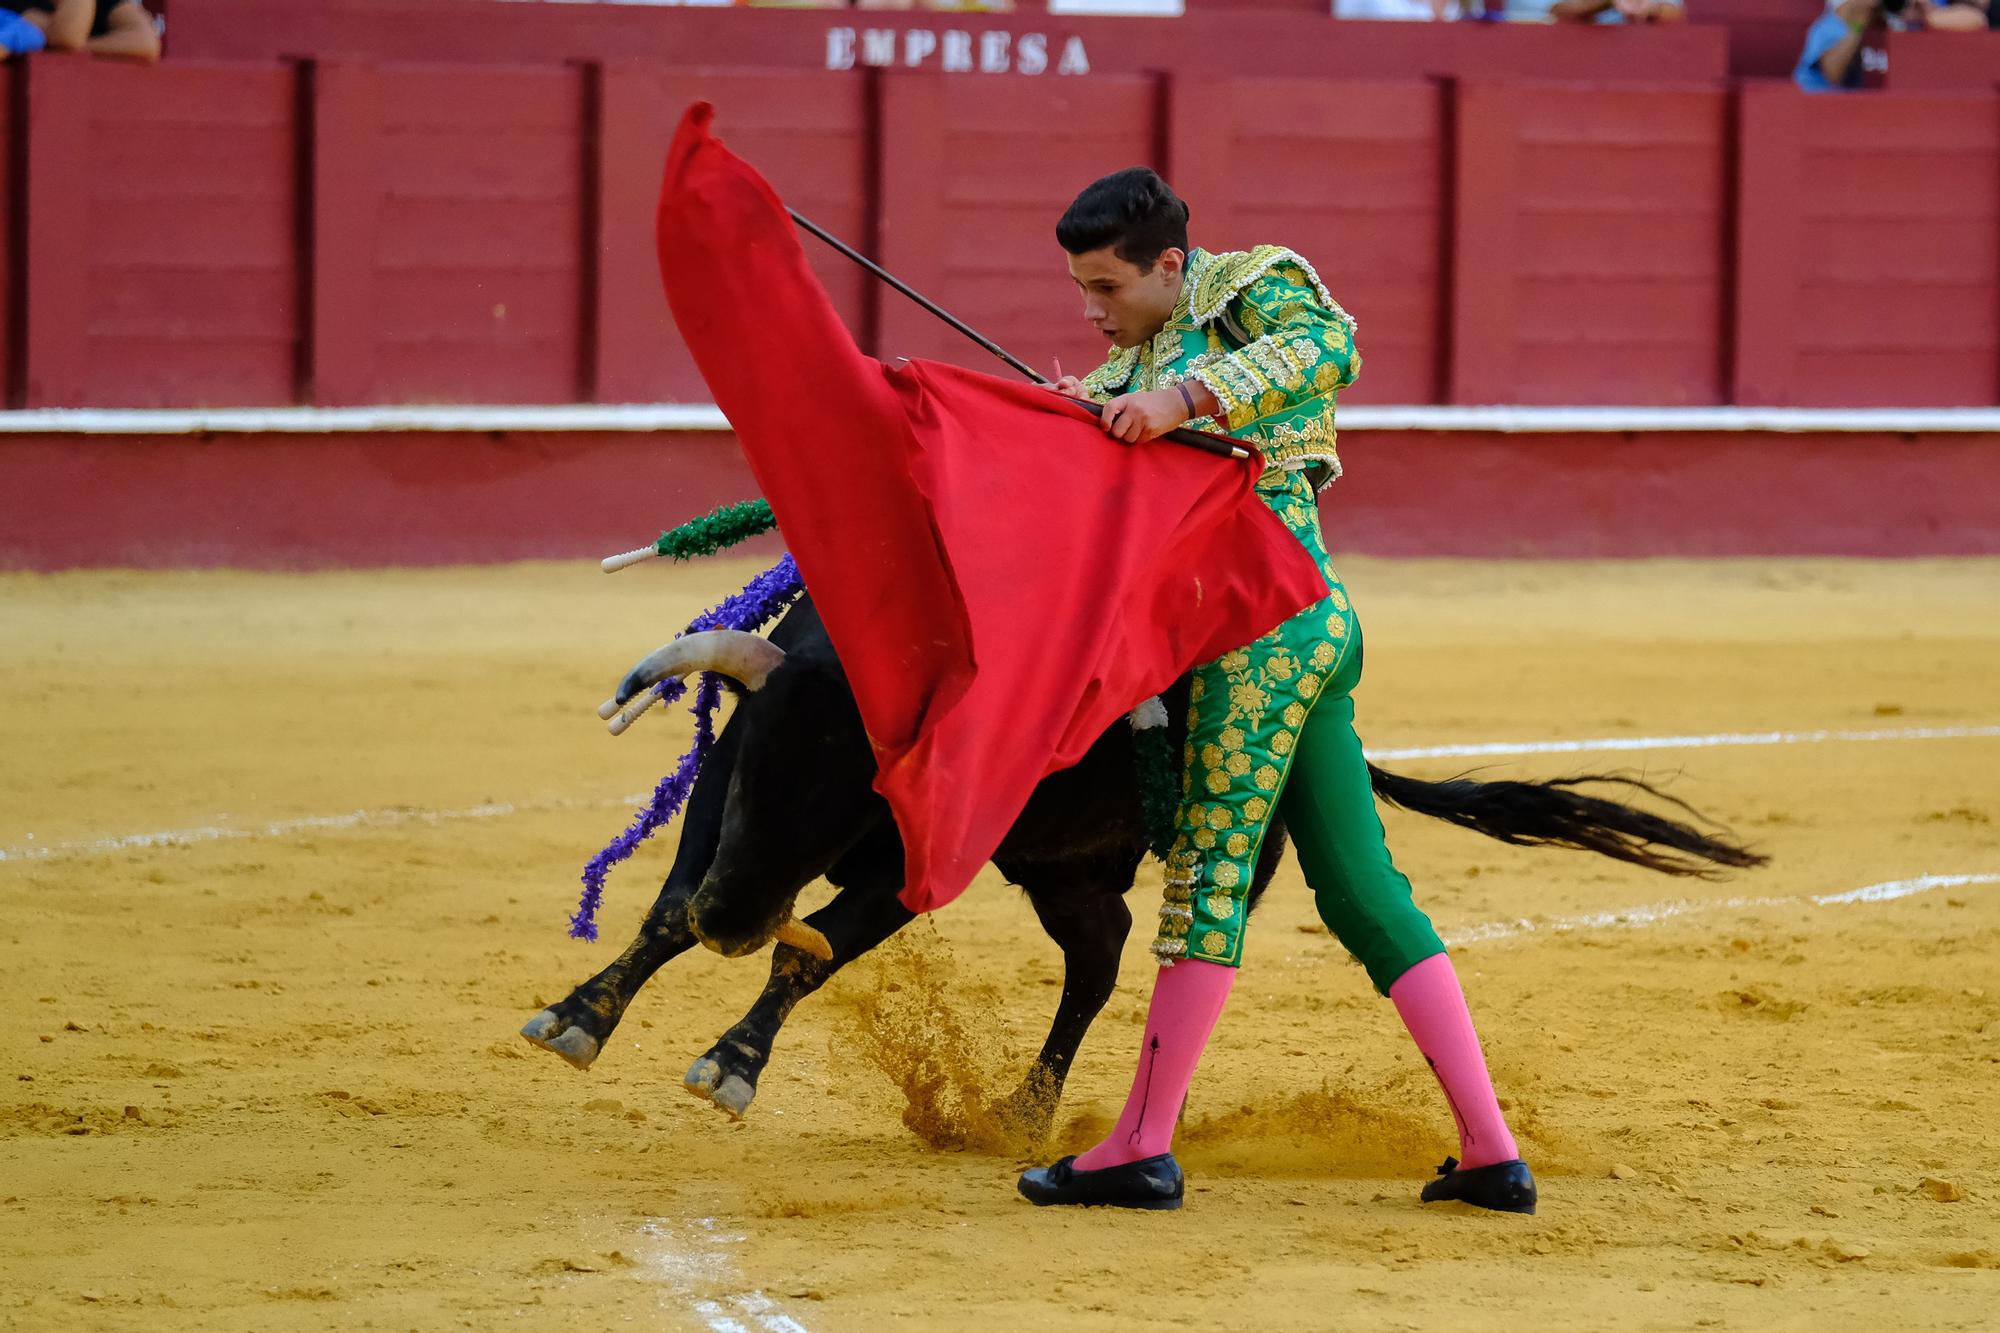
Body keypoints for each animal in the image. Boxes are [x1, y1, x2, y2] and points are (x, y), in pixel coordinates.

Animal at [524, 592, 1760, 1128]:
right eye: (750, 766)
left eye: (853, 793)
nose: (737, 916)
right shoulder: (718, 813)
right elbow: (664, 912)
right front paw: (576, 1016)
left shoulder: (913, 865)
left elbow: (813, 949)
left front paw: (730, 1063)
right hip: (1065, 870)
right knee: (1100, 953)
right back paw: (1026, 1108)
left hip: (1197, 855)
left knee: (1140, 959)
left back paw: (1044, 1116)